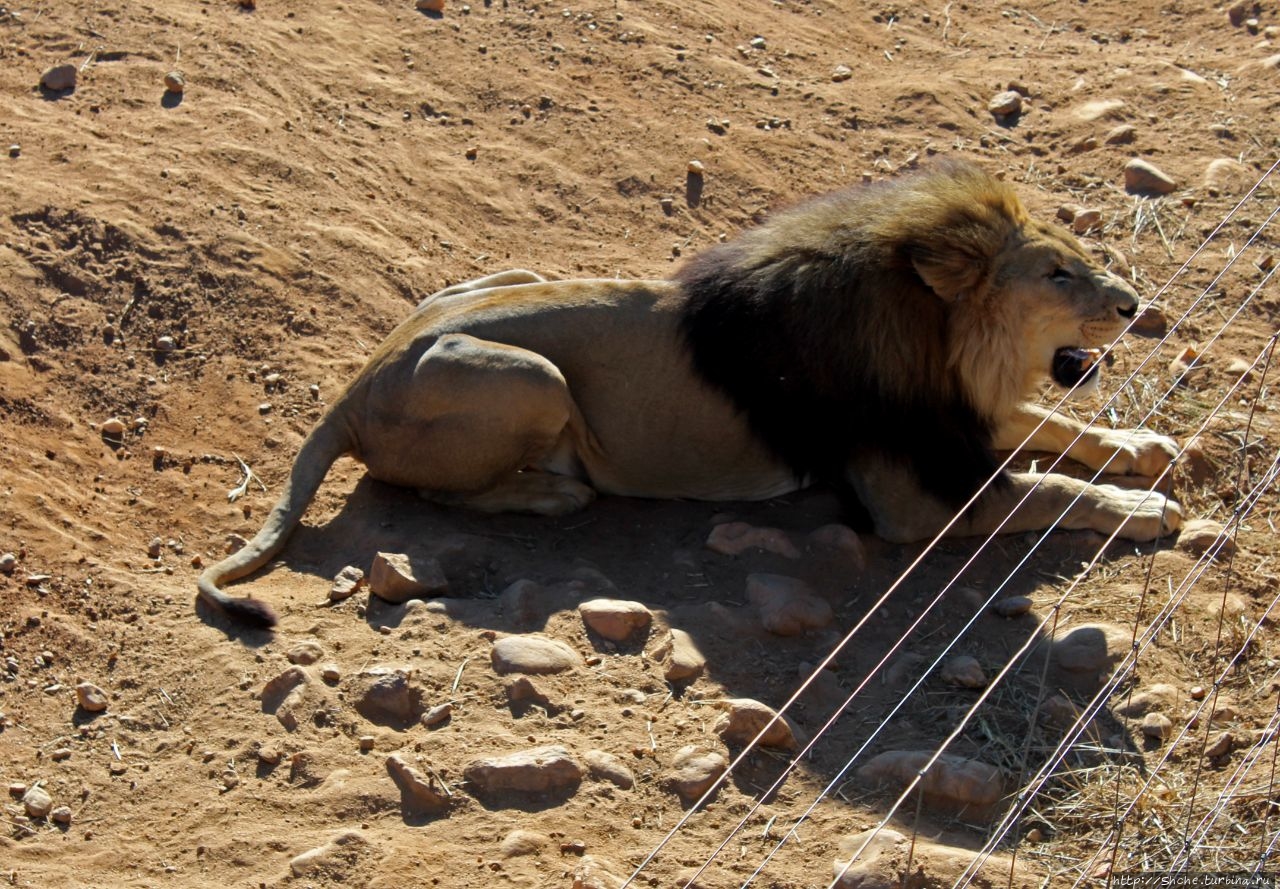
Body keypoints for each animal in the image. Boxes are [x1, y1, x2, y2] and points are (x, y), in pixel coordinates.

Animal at [194, 163, 1182, 629]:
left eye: (1080, 259)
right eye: (1058, 273)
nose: (1135, 304)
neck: (950, 344)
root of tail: (358, 380)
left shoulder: (955, 419)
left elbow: (1055, 425)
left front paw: (1149, 449)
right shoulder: (910, 497)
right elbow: (1051, 491)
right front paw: (1145, 507)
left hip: (500, 282)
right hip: (533, 377)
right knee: (429, 491)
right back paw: (553, 492)